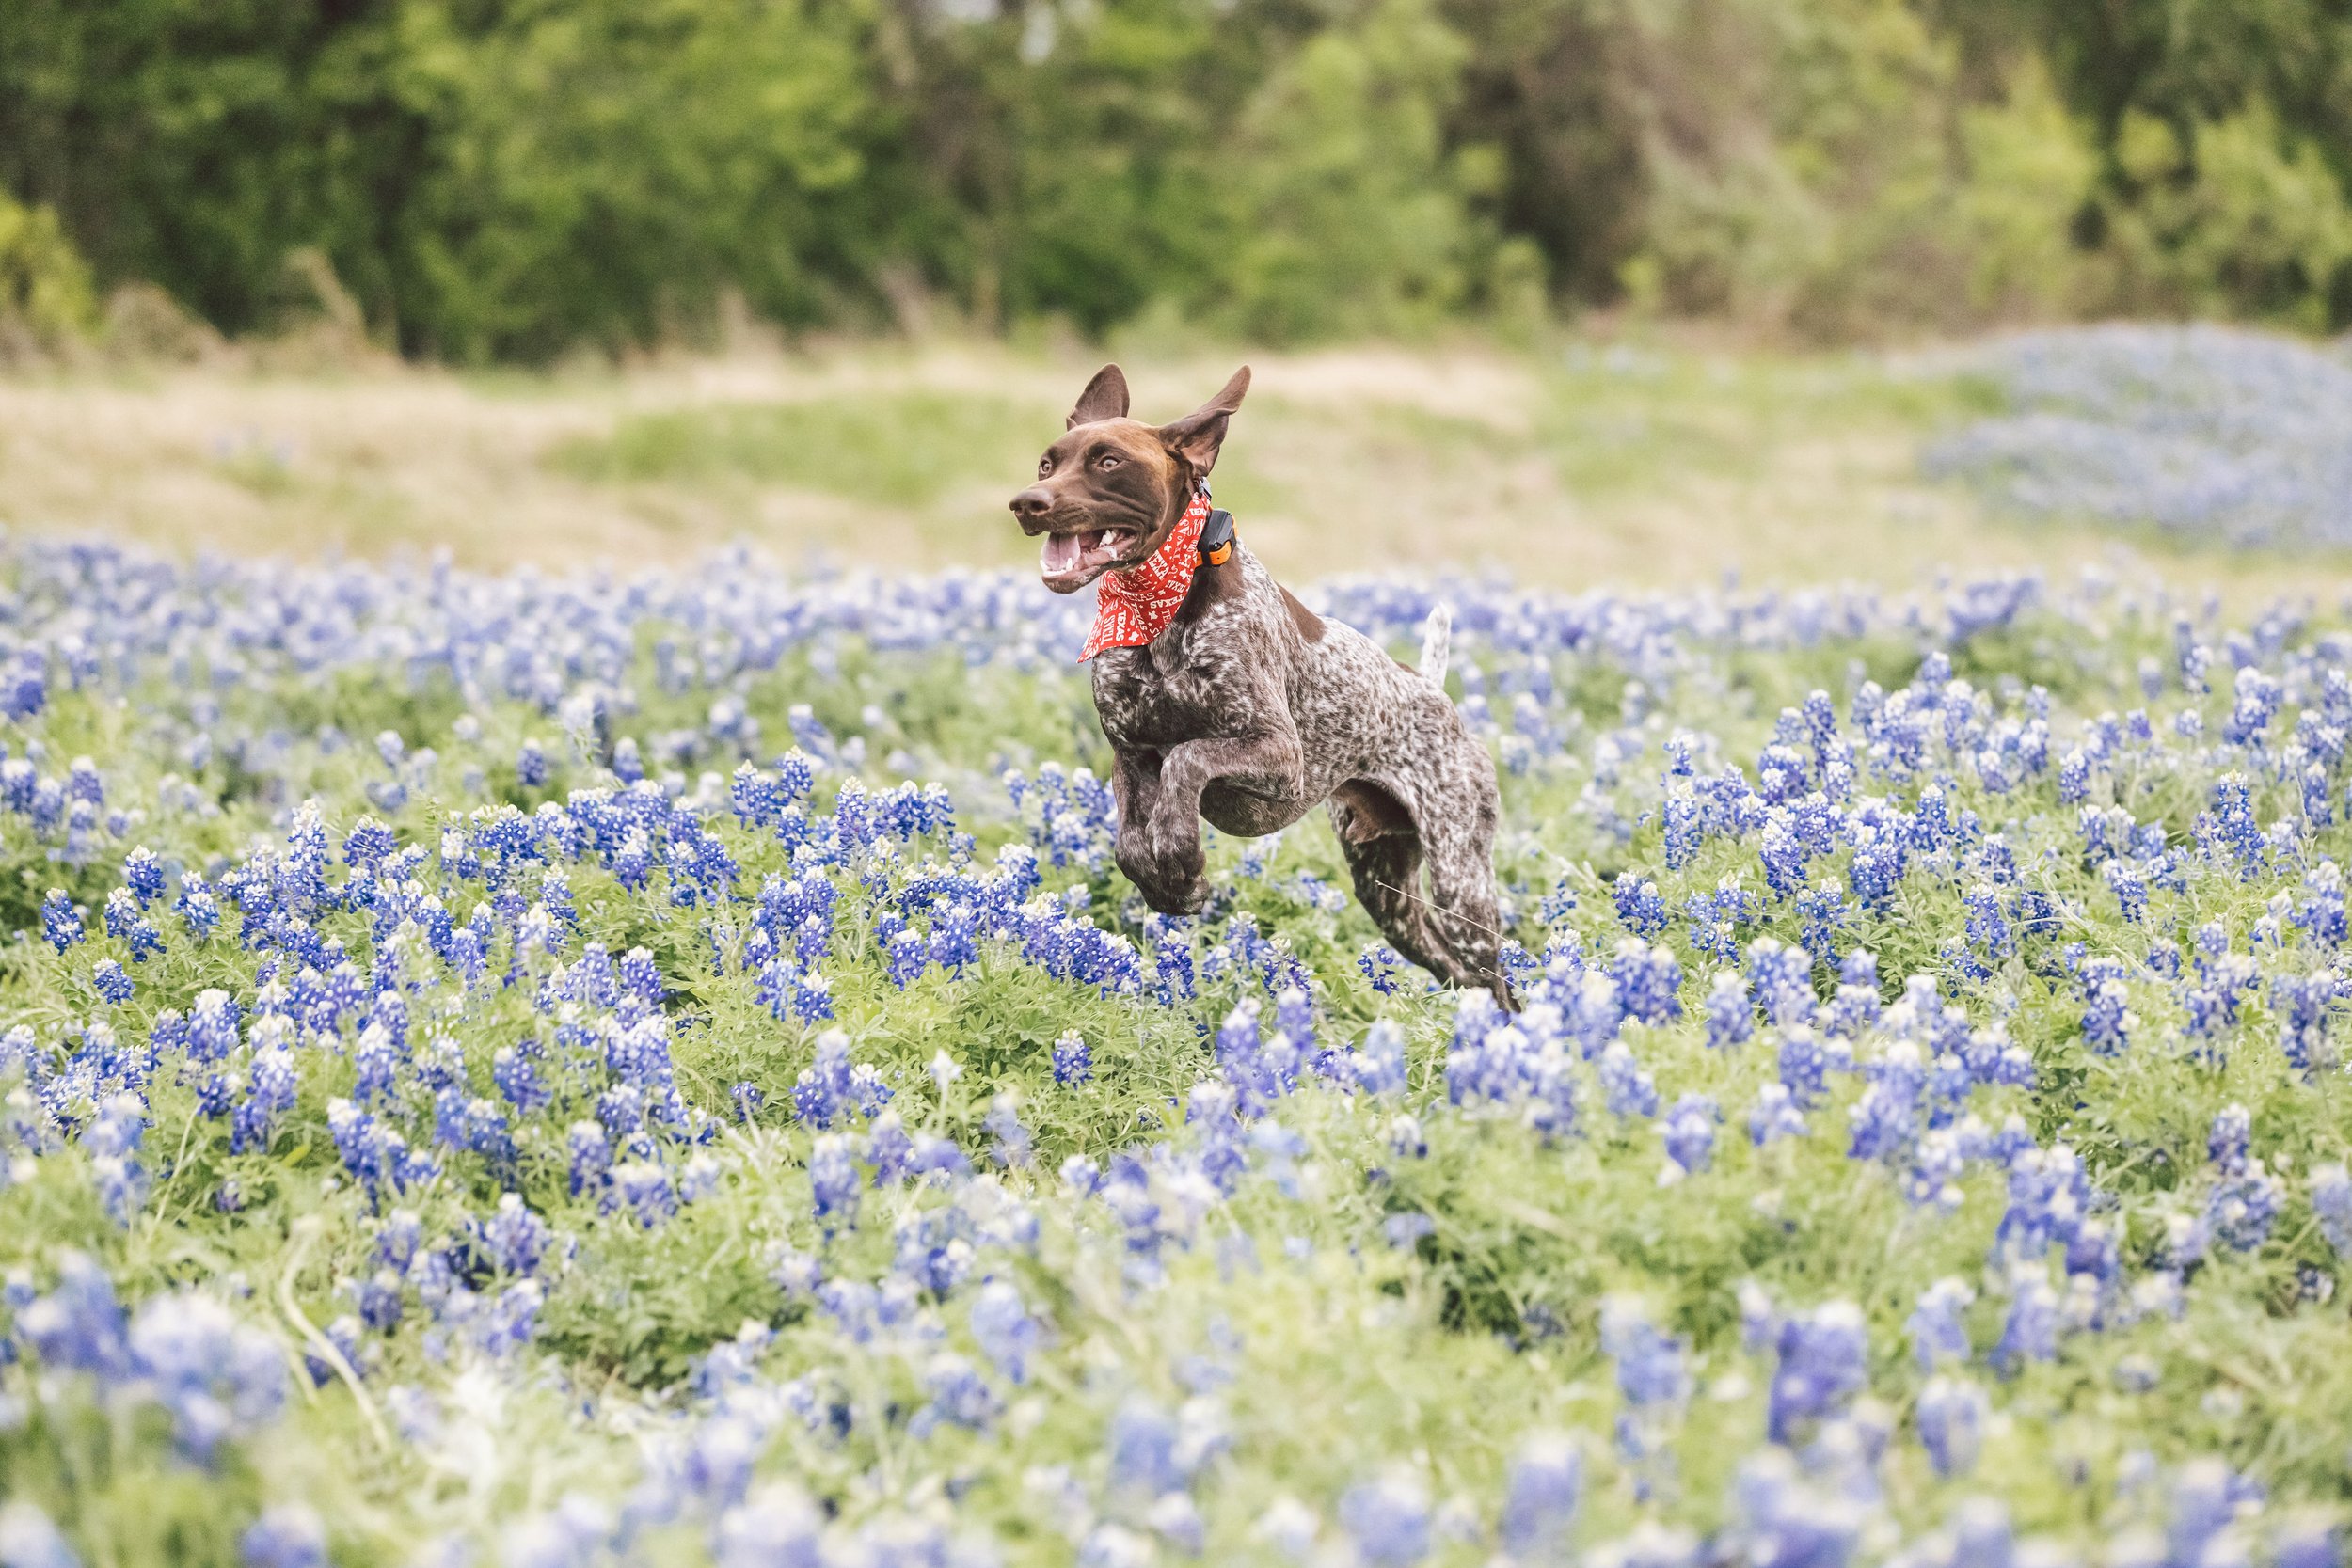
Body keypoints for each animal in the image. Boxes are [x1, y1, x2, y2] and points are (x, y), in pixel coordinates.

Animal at [1007, 366, 1515, 1006]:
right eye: (1046, 463)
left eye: (1108, 461)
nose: (1027, 502)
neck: (1159, 605)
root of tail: (1432, 688)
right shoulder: (1130, 755)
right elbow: (1130, 844)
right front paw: (1171, 884)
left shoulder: (1278, 755)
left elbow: (1189, 759)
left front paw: (1181, 859)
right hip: (1386, 891)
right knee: (1458, 973)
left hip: (1459, 879)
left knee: (1500, 980)